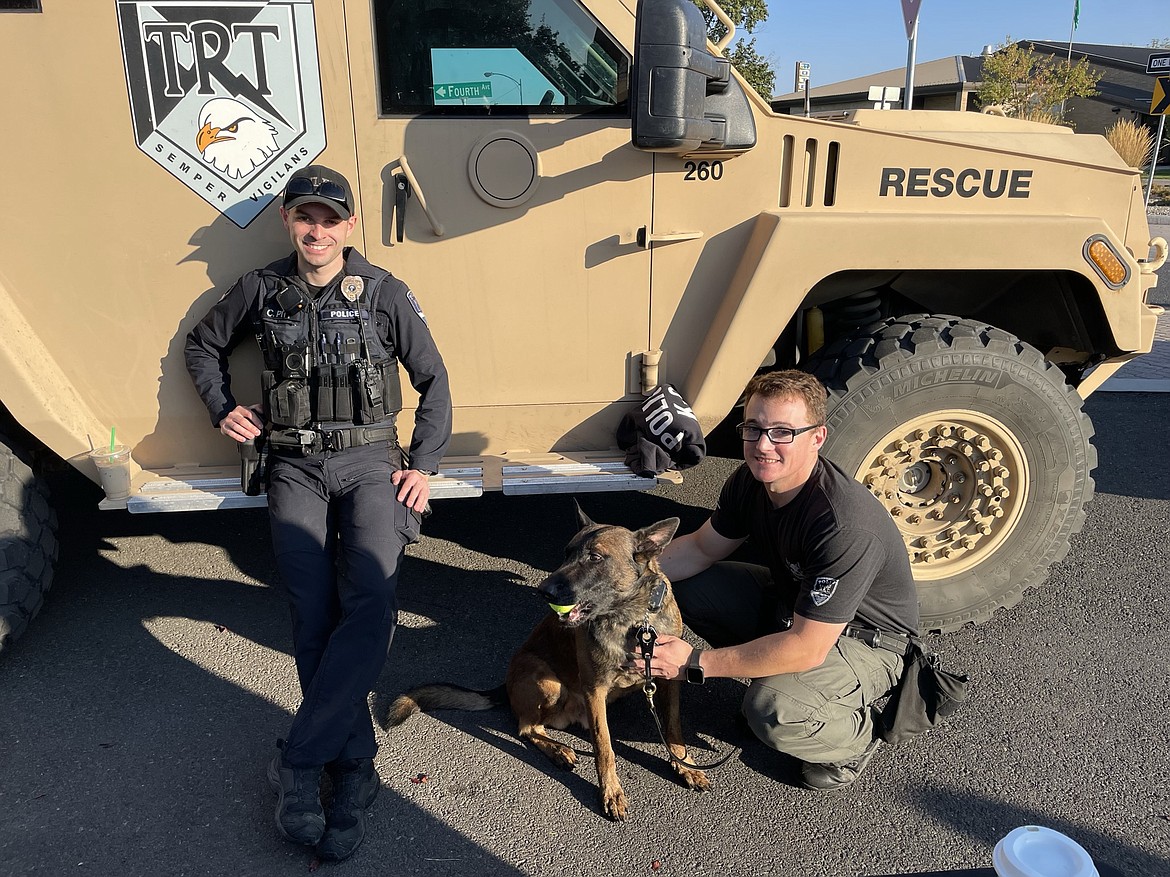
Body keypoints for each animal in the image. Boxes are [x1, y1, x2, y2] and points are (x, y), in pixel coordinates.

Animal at [388, 507, 706, 823]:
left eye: (594, 557)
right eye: (566, 553)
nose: (543, 591)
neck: (632, 619)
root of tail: (505, 684)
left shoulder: (669, 681)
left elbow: (673, 726)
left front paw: (685, 764)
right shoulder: (595, 691)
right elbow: (604, 747)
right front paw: (611, 792)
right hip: (548, 683)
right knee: (526, 727)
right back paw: (557, 749)